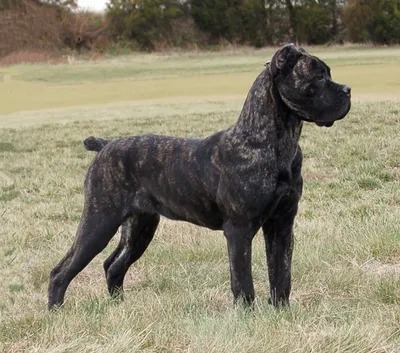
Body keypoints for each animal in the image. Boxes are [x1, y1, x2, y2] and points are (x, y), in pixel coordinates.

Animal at [48, 43, 352, 308]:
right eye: (318, 76)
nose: (348, 89)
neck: (273, 142)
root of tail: (106, 145)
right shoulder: (239, 230)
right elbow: (243, 281)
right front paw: (247, 316)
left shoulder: (282, 224)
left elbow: (281, 274)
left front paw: (281, 311)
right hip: (99, 222)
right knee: (61, 271)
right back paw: (56, 312)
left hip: (140, 228)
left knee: (113, 266)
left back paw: (119, 306)